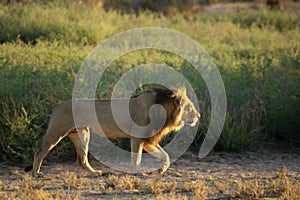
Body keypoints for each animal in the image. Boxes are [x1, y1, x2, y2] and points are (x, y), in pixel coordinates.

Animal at [24, 86, 200, 176]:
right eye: (190, 107)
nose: (199, 115)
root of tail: (57, 106)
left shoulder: (147, 140)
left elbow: (166, 155)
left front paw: (161, 169)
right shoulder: (137, 138)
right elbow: (136, 159)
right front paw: (137, 172)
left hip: (82, 134)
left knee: (82, 159)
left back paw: (95, 172)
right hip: (56, 132)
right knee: (39, 152)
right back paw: (36, 173)